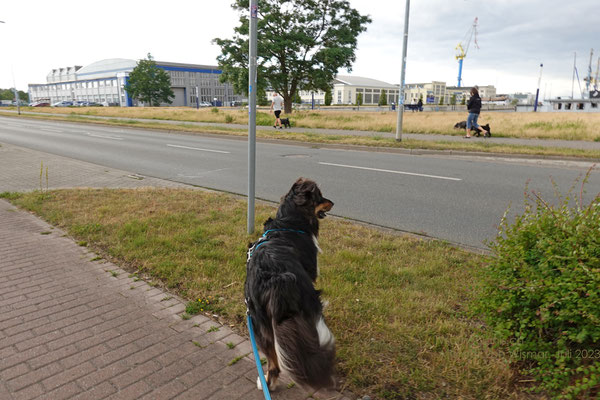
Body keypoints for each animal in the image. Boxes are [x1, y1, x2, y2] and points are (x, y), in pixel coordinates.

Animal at [245, 177, 338, 390]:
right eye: (320, 196)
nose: (333, 202)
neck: (288, 222)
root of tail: (275, 280)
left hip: (258, 322)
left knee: (273, 360)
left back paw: (267, 383)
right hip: (308, 301)